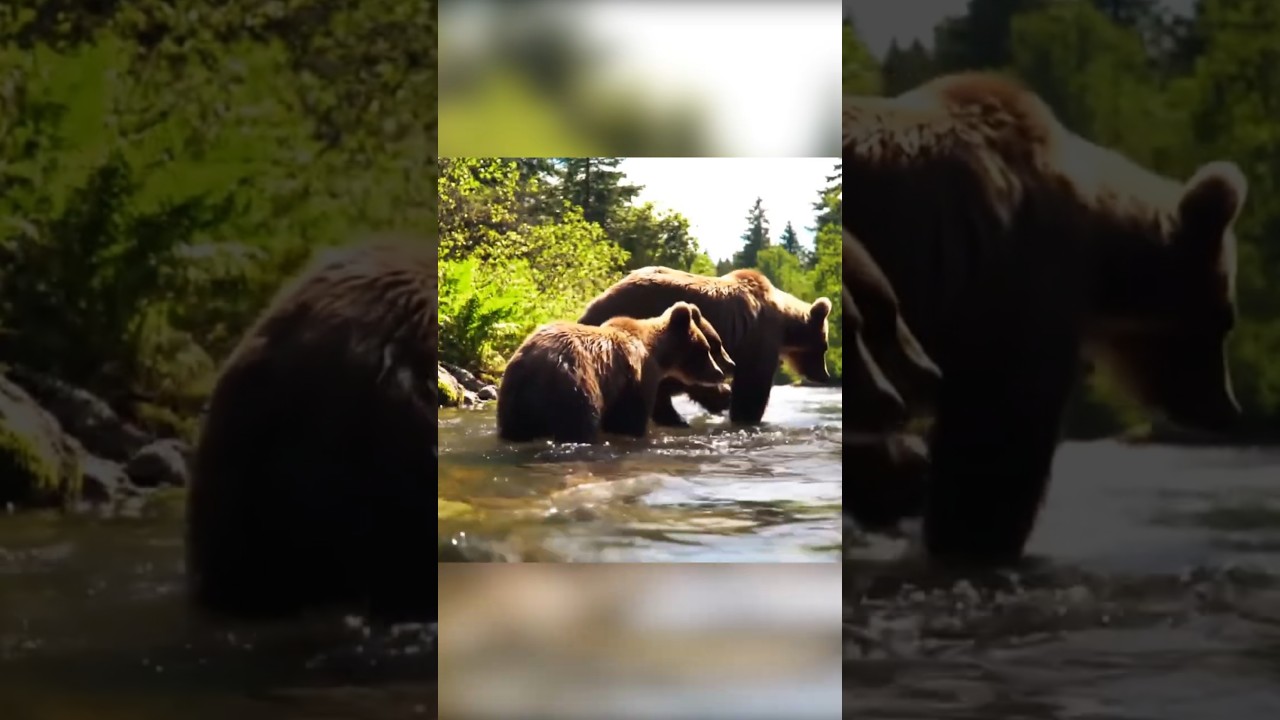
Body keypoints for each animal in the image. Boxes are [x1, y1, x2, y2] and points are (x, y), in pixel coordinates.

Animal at [497, 301, 732, 444]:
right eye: (706, 349)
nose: (719, 372)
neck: (657, 354)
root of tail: (531, 369)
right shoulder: (637, 378)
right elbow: (629, 419)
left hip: (513, 402)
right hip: (575, 385)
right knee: (580, 422)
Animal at [578, 267, 833, 427]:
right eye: (824, 347)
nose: (825, 375)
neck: (786, 325)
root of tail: (591, 307)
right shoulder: (759, 339)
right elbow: (752, 386)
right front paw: (745, 415)